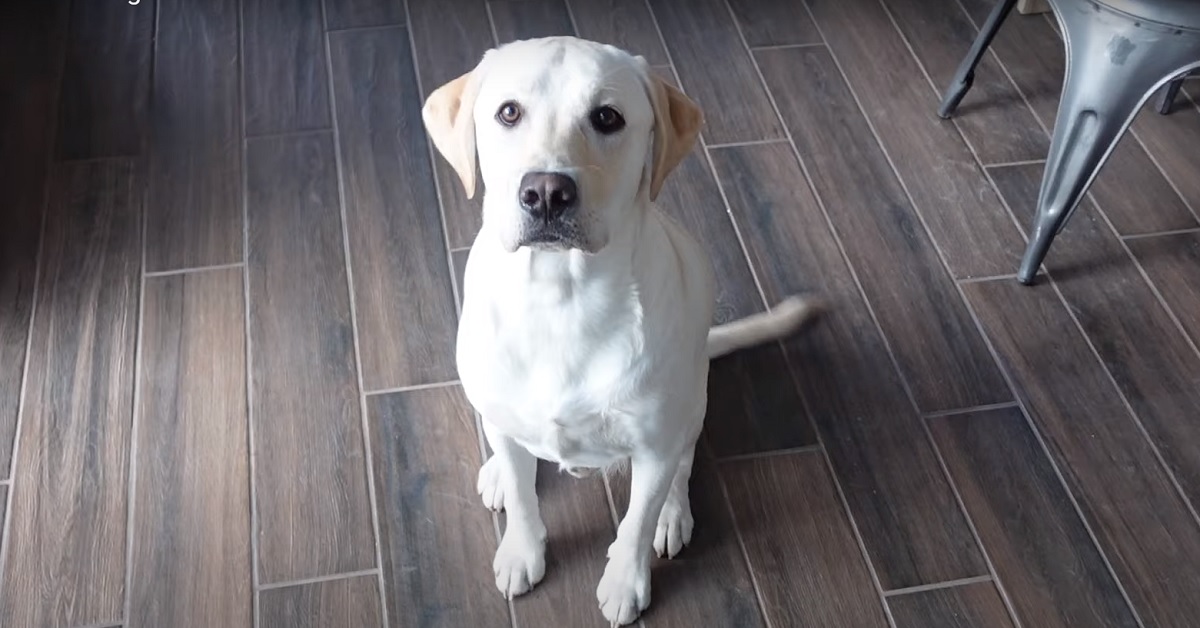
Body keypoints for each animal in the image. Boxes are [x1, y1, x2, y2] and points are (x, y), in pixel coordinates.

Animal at [420, 36, 816, 624]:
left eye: (607, 117)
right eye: (508, 113)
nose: (546, 192)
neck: (560, 299)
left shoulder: (653, 444)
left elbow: (635, 522)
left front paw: (626, 582)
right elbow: (523, 497)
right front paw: (521, 549)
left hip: (691, 407)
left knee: (683, 465)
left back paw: (675, 515)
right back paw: (497, 470)